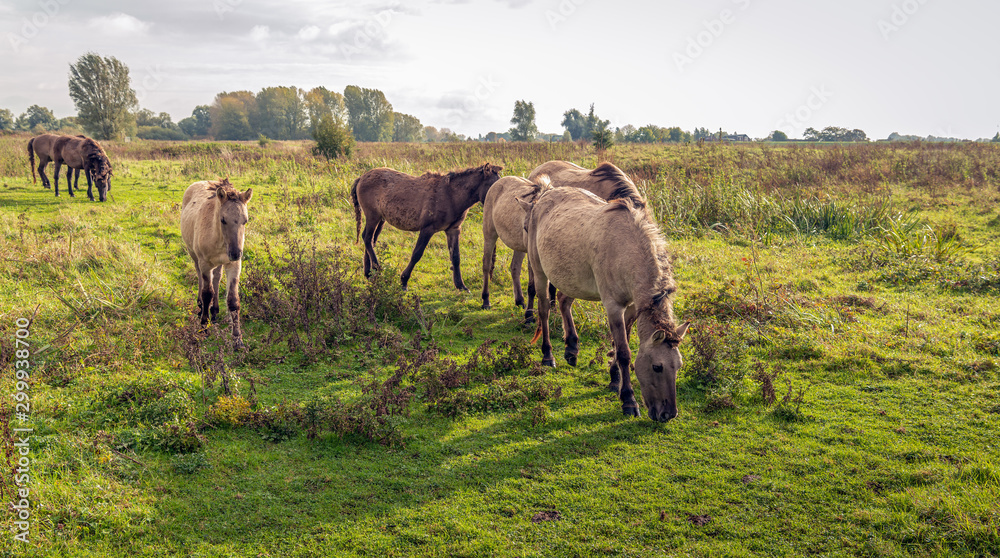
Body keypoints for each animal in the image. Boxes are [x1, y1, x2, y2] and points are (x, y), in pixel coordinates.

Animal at [183, 179, 256, 348]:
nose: (235, 253)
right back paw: (200, 306)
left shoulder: (234, 266)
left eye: (245, 220)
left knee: (216, 278)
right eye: (223, 220)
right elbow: (207, 293)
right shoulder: (204, 264)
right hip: (194, 255)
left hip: (220, 263)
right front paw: (204, 326)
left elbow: (233, 300)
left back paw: (215, 311)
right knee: (199, 277)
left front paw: (237, 339)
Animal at [354, 163, 508, 290]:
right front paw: (404, 281)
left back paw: (369, 273)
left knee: (371, 240)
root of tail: (362, 177)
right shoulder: (427, 229)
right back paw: (377, 269)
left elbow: (456, 257)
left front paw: (461, 285)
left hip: (381, 219)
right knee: (367, 238)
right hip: (373, 216)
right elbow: (416, 254)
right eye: (493, 186)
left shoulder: (453, 230)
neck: (451, 195)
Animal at [520, 186, 692, 422]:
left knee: (564, 301)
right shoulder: (613, 307)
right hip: (539, 272)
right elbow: (624, 352)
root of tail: (544, 196)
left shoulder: (631, 308)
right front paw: (628, 400)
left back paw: (571, 349)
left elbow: (621, 344)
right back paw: (548, 356)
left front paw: (614, 380)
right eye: (657, 367)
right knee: (544, 310)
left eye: (679, 366)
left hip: (572, 278)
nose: (668, 414)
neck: (626, 249)